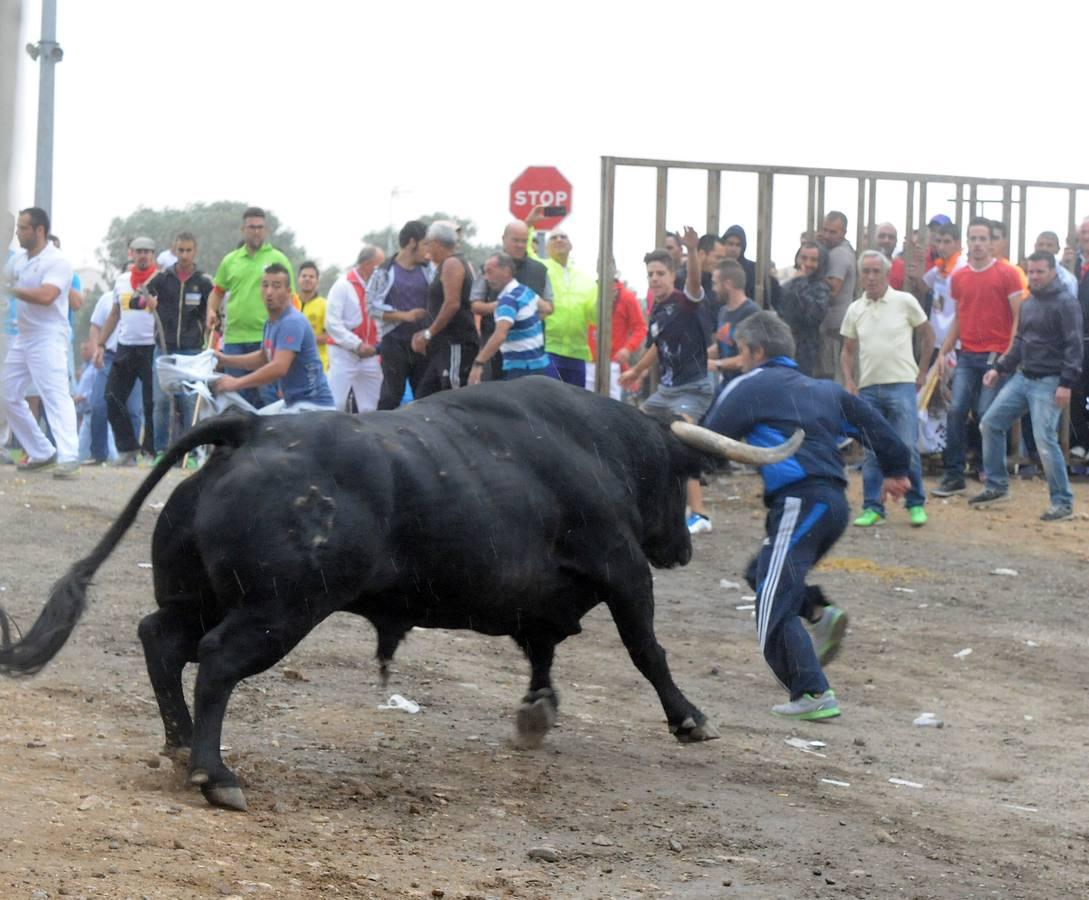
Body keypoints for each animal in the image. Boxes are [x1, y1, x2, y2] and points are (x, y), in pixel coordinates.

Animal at [0, 374, 801, 810]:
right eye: (680, 474)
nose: (684, 547)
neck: (595, 444)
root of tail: (251, 429)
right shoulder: (622, 570)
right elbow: (647, 650)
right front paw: (689, 718)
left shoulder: (536, 603)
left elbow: (541, 652)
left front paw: (536, 713)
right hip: (278, 611)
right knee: (217, 662)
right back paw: (215, 772)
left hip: (196, 596)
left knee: (160, 641)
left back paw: (174, 748)